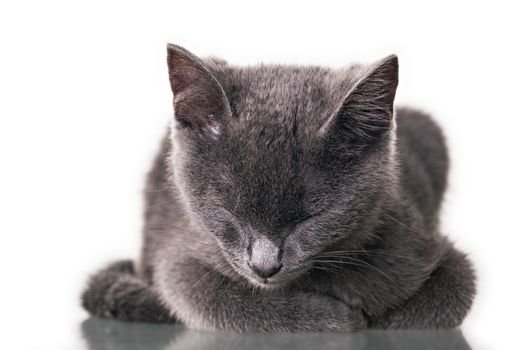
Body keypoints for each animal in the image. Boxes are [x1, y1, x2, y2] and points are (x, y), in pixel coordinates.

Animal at [81, 43, 474, 330]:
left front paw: (377, 320)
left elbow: (442, 299)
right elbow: (209, 297)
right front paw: (336, 319)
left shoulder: (426, 247)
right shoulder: (182, 254)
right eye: (228, 211)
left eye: (312, 217)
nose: (264, 266)